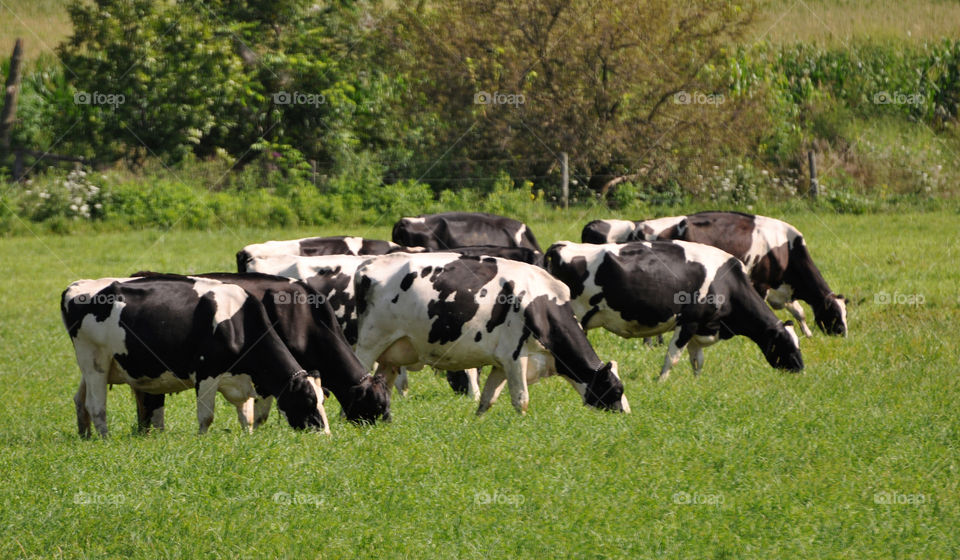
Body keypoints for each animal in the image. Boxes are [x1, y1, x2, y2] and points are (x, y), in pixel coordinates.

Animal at [61, 276, 330, 438]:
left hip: (101, 366)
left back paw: (85, 436)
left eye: (322, 400)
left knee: (80, 400)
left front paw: (248, 438)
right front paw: (202, 440)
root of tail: (76, 286)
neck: (239, 323)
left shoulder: (239, 380)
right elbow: (206, 416)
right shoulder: (207, 373)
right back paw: (104, 439)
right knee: (96, 406)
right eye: (308, 400)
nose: (325, 436)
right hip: (94, 361)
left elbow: (247, 417)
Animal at [352, 252, 630, 415]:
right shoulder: (516, 356)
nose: (625, 415)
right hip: (369, 344)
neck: (542, 304)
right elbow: (521, 399)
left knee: (381, 384)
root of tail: (369, 264)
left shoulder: (500, 362)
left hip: (391, 354)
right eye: (616, 390)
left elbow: (487, 400)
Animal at [544, 241, 804, 381]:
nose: (801, 369)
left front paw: (697, 382)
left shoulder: (702, 327)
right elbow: (673, 356)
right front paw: (661, 381)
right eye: (786, 344)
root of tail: (561, 246)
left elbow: (697, 359)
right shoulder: (688, 321)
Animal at [626, 212, 848, 337]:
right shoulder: (760, 283)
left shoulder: (779, 288)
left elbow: (799, 311)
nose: (843, 334)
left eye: (846, 313)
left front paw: (807, 333)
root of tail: (640, 225)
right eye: (834, 313)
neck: (787, 248)